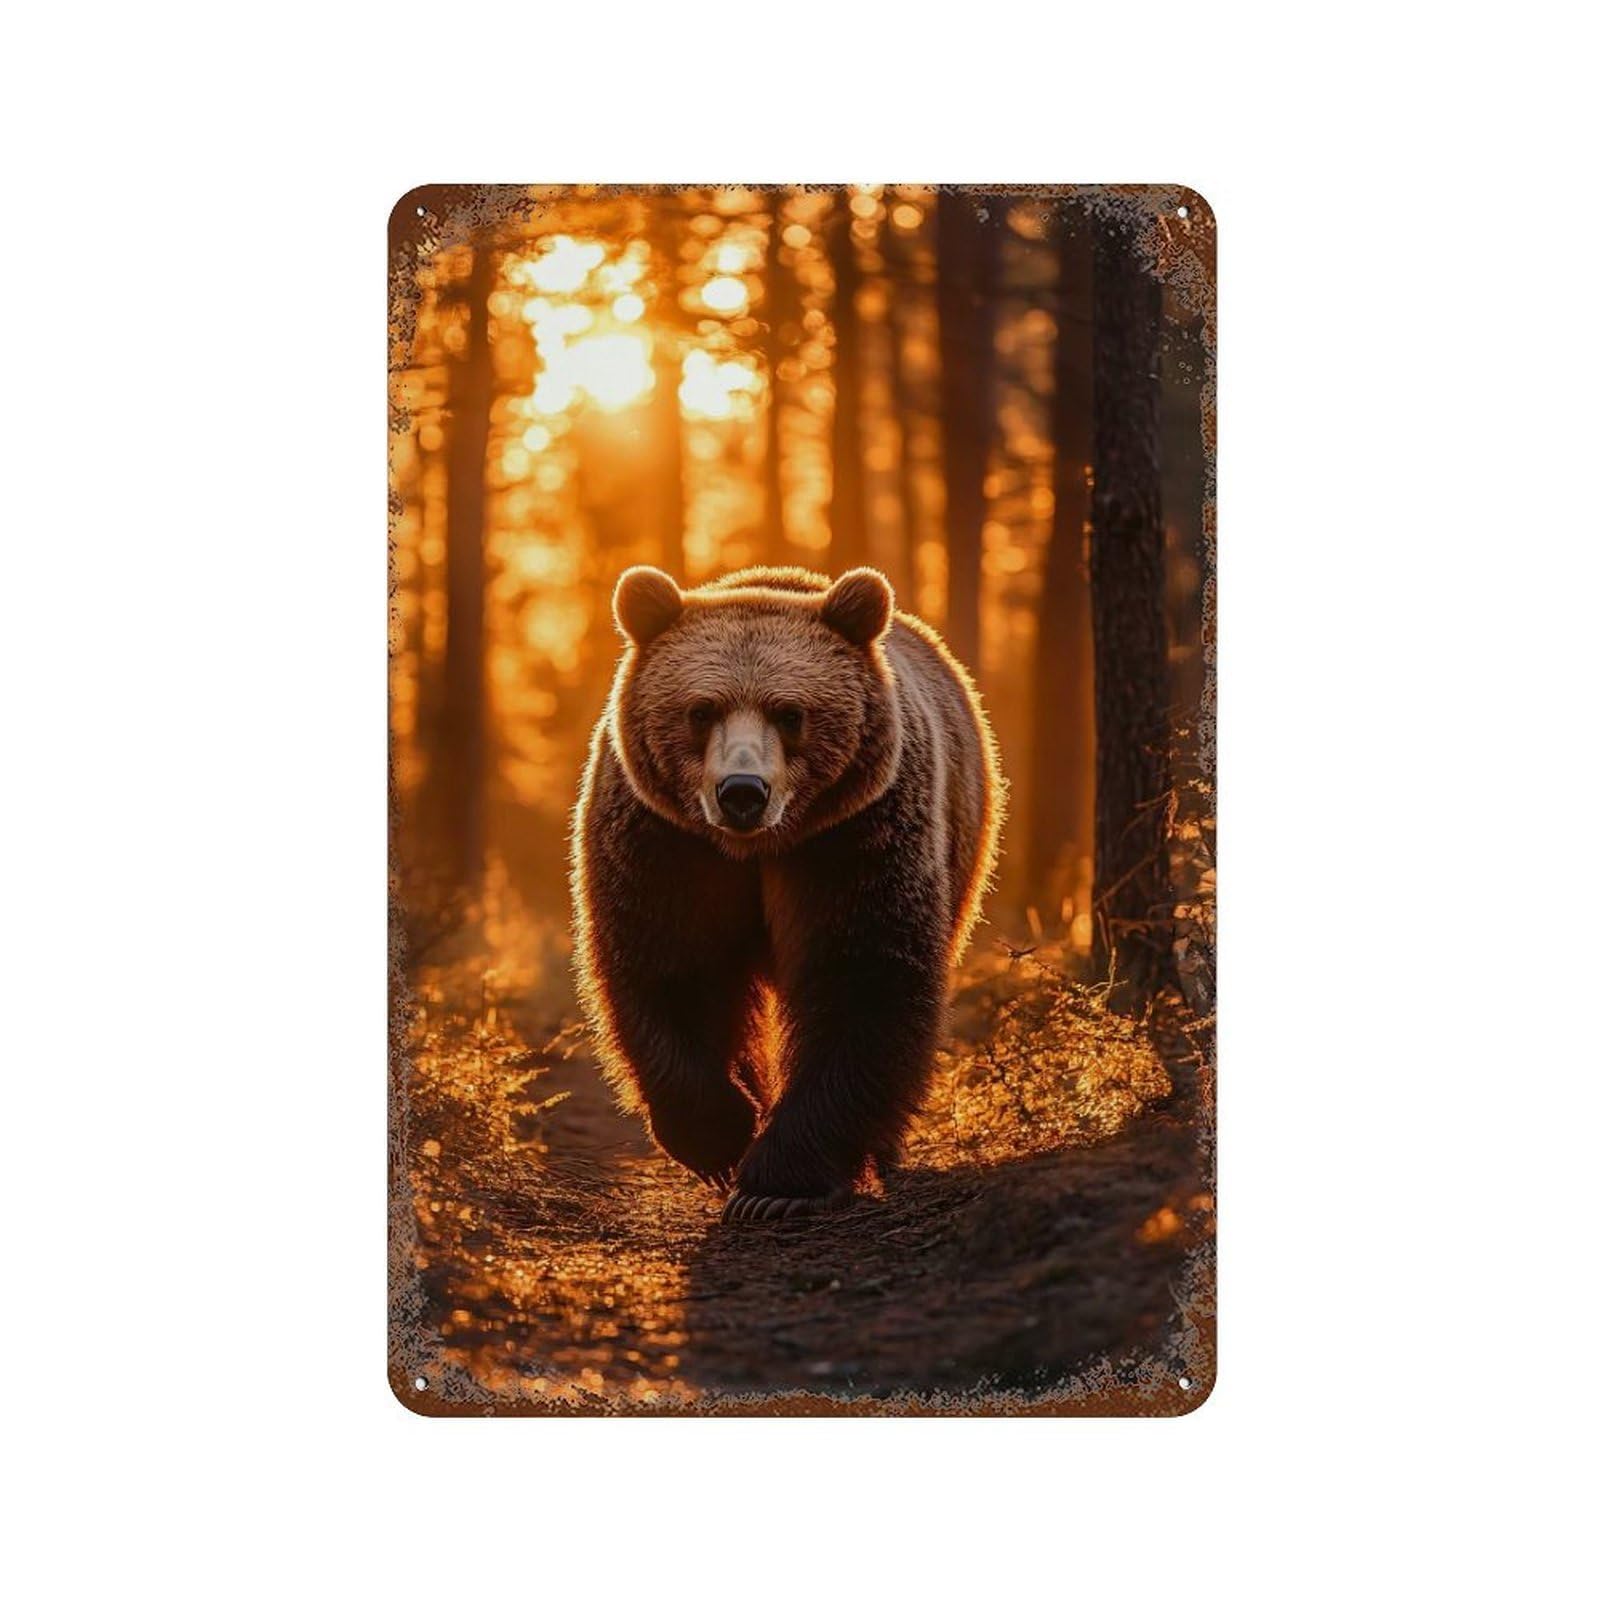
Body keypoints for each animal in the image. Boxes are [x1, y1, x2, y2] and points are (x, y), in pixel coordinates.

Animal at [571, 565, 1004, 1222]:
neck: (754, 851)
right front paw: (720, 1137)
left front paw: (776, 1184)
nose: (742, 791)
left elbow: (861, 977)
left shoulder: (851, 838)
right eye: (702, 710)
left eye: (790, 713)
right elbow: (668, 965)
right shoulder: (668, 844)